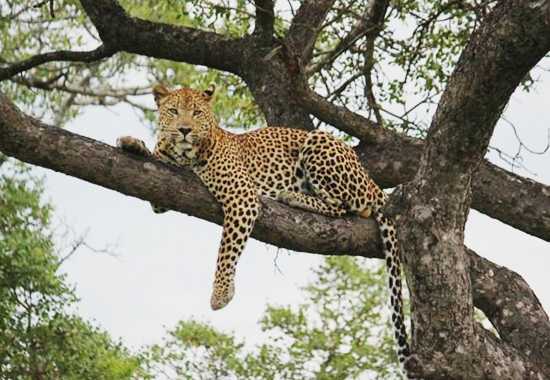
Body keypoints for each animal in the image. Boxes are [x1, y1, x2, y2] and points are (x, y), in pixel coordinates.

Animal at [116, 84, 414, 374]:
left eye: (197, 113)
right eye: (174, 111)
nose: (184, 130)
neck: (186, 157)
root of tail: (370, 180)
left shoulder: (242, 196)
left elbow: (226, 250)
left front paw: (220, 294)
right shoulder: (161, 193)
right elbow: (155, 161)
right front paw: (133, 144)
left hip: (320, 143)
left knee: (345, 207)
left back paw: (291, 196)